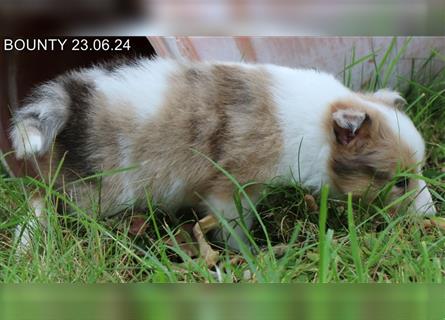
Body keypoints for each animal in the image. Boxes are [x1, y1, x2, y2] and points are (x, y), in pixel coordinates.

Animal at [11, 57, 438, 250]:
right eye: (400, 183)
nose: (430, 216)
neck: (315, 119)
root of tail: (72, 105)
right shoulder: (228, 189)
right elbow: (235, 224)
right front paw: (251, 253)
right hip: (90, 190)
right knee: (38, 201)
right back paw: (29, 243)